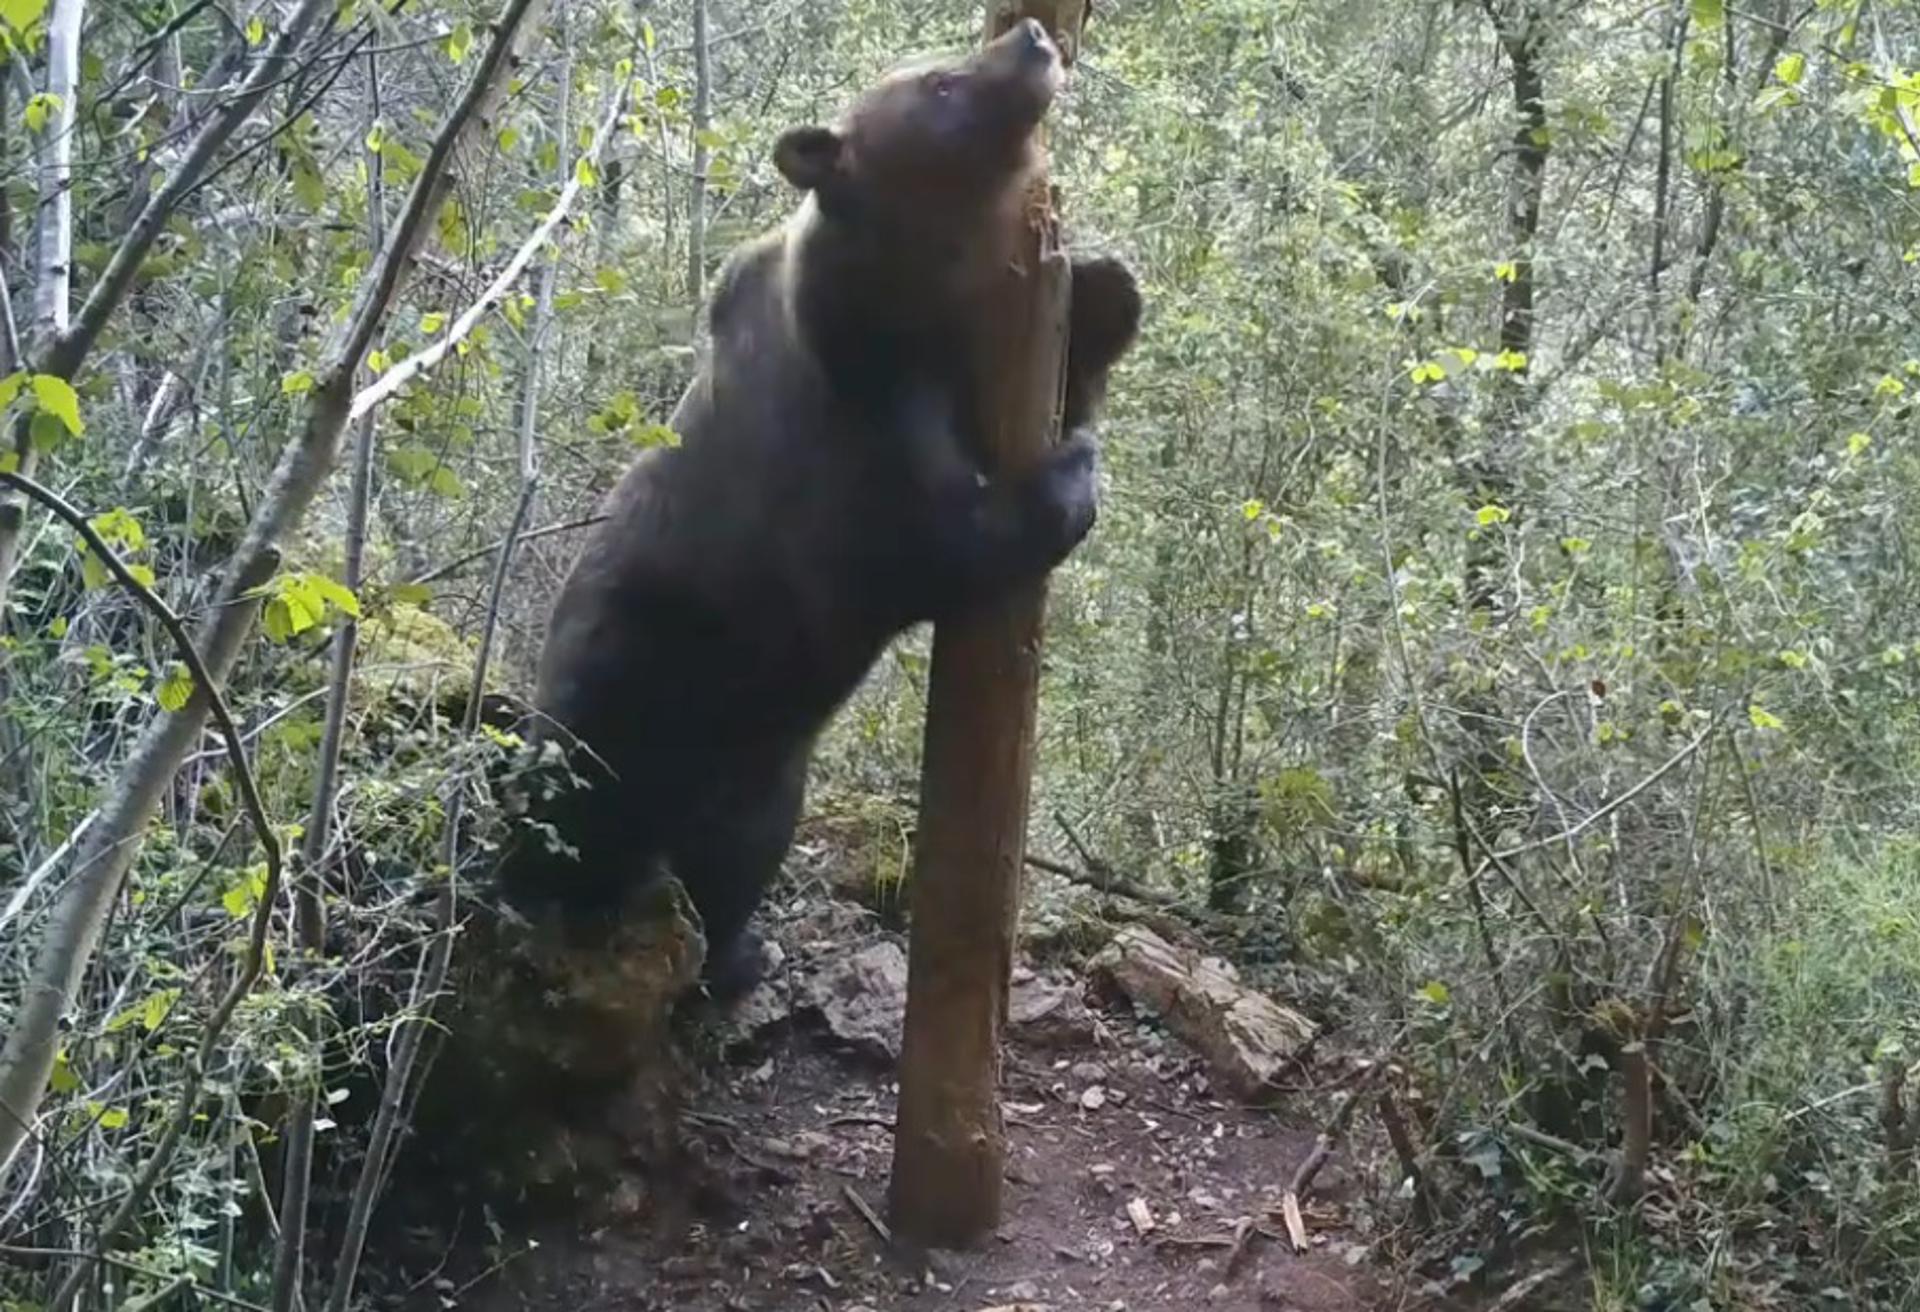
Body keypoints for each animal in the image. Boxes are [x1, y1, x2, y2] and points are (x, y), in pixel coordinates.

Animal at [496, 17, 1142, 1002]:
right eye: (941, 84)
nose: (1032, 38)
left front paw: (1109, 292)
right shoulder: (852, 439)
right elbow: (947, 542)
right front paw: (1070, 475)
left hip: (762, 760)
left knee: (736, 856)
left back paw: (738, 952)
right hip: (627, 688)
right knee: (578, 815)